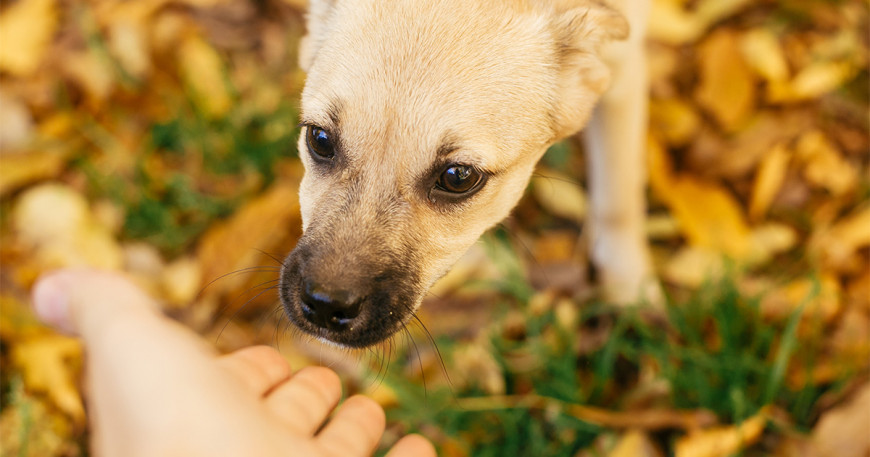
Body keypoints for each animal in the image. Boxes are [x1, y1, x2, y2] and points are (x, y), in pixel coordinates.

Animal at [282, 0, 660, 348]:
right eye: (319, 139)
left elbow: (618, 197)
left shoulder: (625, 77)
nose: (325, 306)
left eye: (458, 177)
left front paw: (628, 284)